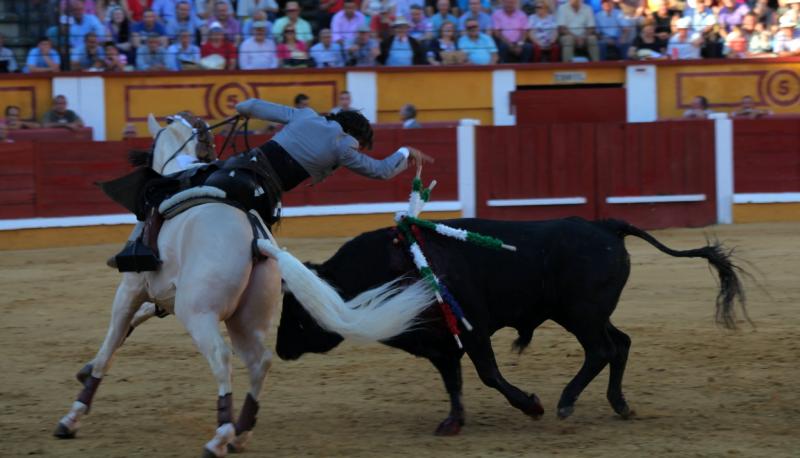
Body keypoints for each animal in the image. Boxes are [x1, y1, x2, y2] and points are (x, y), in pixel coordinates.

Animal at [54, 112, 438, 456]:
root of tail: (257, 240)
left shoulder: (132, 288)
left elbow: (111, 343)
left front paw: (73, 416)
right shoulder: (164, 297)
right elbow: (131, 326)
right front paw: (84, 371)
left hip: (199, 313)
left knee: (222, 356)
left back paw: (220, 436)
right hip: (245, 317)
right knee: (260, 361)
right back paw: (239, 433)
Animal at [276, 216, 744, 434]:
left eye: (297, 311)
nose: (279, 349)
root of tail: (605, 226)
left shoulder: (471, 328)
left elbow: (486, 373)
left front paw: (530, 404)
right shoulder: (439, 341)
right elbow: (453, 380)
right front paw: (452, 422)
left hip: (580, 314)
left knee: (602, 350)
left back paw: (565, 403)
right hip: (589, 314)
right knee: (621, 343)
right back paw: (620, 404)